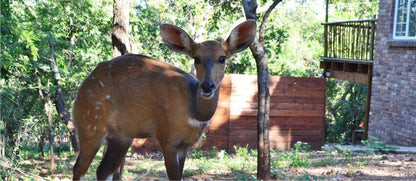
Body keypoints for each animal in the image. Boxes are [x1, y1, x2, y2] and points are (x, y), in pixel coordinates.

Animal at [71, 20, 256, 180]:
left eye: (222, 58)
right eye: (196, 58)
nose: (207, 86)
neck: (194, 111)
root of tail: (81, 91)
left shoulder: (184, 145)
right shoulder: (167, 139)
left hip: (120, 137)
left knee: (102, 170)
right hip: (91, 127)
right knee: (78, 168)